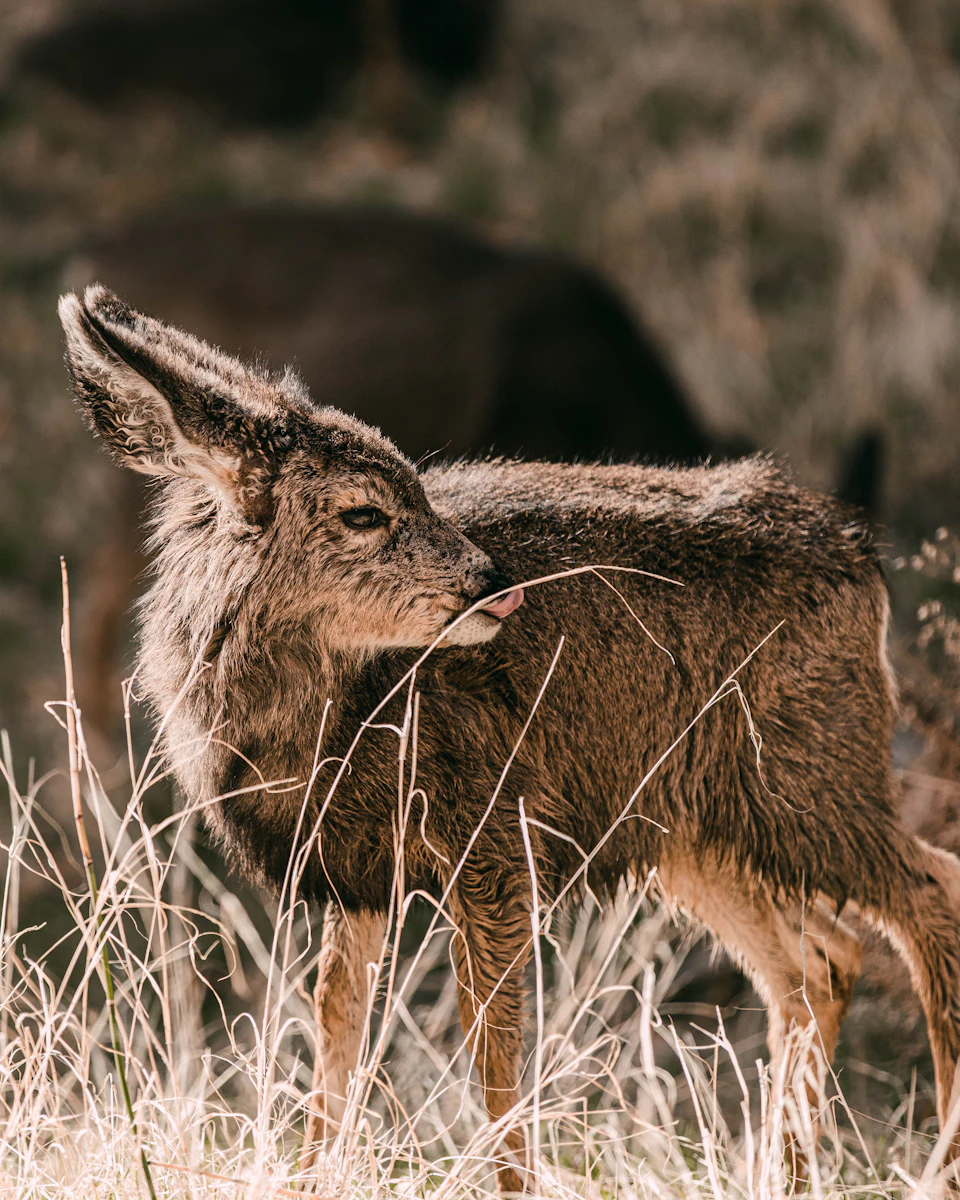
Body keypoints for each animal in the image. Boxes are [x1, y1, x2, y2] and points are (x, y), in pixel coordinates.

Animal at [60, 285, 960, 1192]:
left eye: (421, 488)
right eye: (363, 511)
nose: (495, 581)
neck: (329, 725)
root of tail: (861, 556)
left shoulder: (492, 836)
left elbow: (491, 1049)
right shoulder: (356, 869)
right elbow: (336, 1024)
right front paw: (310, 1178)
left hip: (808, 773)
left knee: (931, 892)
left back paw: (934, 1163)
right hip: (690, 823)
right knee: (819, 960)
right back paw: (782, 1174)